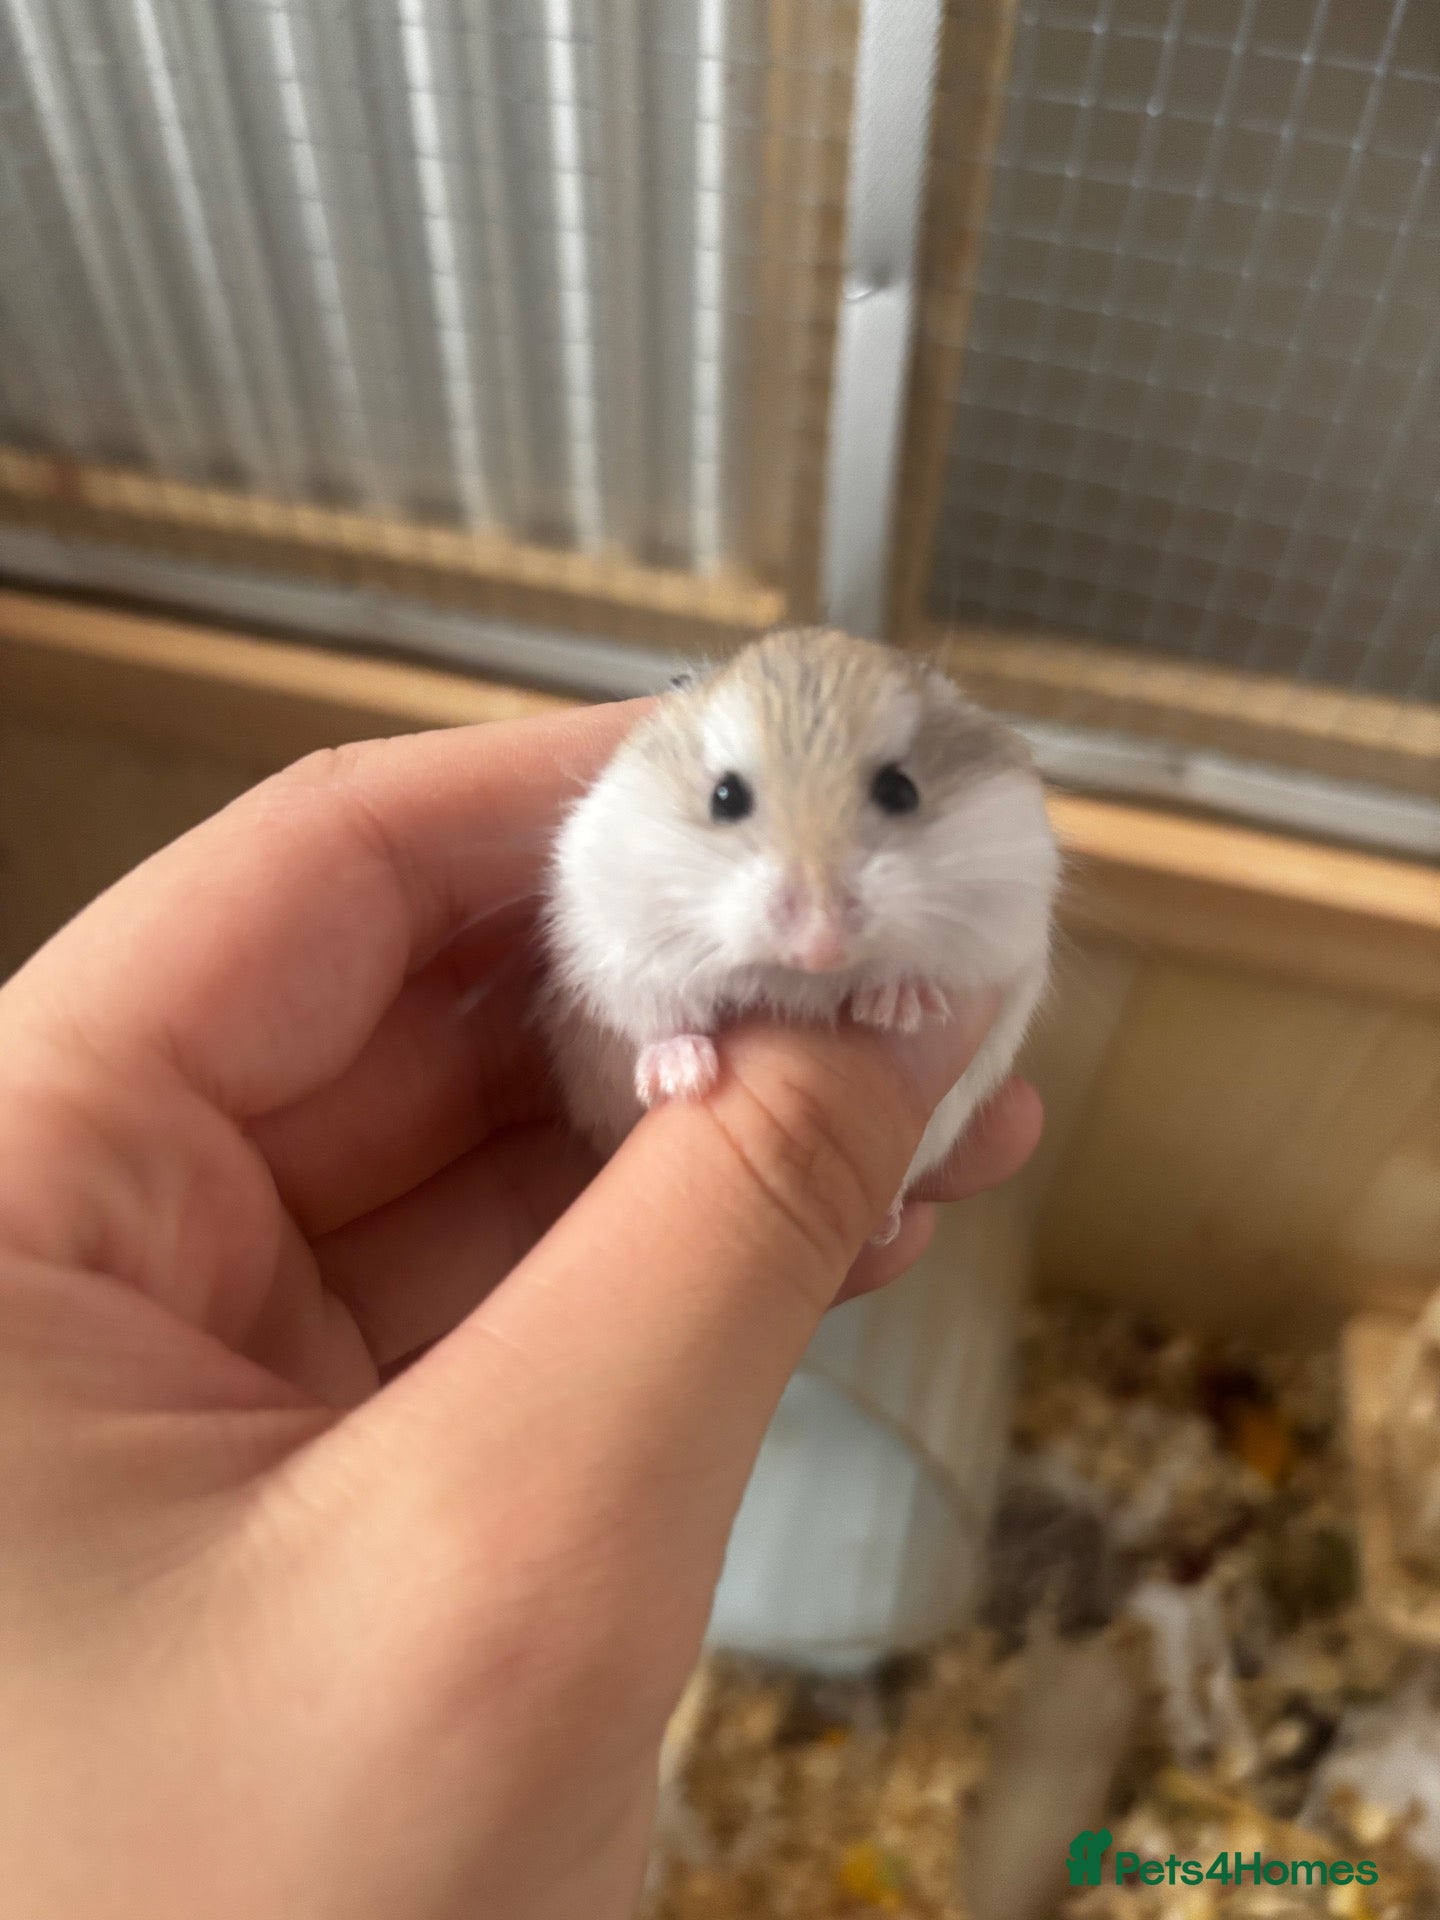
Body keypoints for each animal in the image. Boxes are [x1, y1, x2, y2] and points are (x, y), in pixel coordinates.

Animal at [542, 627, 1059, 1239]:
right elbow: (652, 1017)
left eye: (901, 791)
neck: (802, 982)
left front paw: (899, 1008)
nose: (820, 945)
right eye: (725, 797)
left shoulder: (1006, 923)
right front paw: (684, 1079)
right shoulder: (614, 939)